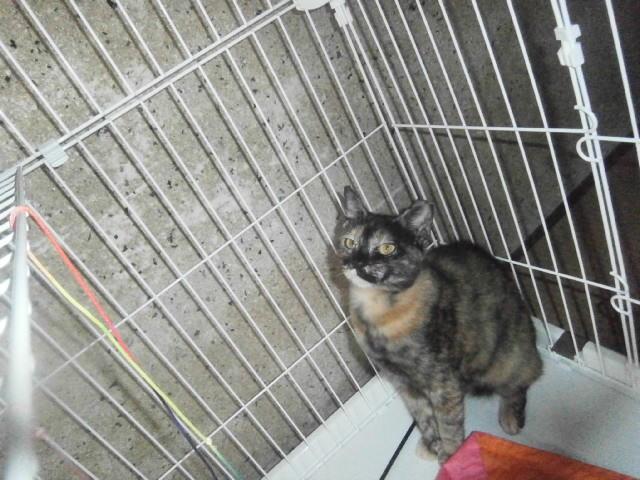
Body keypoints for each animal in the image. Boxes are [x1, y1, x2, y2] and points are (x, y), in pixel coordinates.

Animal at [335, 186, 542, 464]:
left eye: (387, 247)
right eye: (350, 242)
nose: (357, 263)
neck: (379, 311)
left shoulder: (442, 382)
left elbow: (449, 423)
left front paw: (453, 457)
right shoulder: (404, 384)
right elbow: (425, 419)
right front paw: (433, 445)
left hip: (503, 360)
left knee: (523, 379)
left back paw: (510, 417)